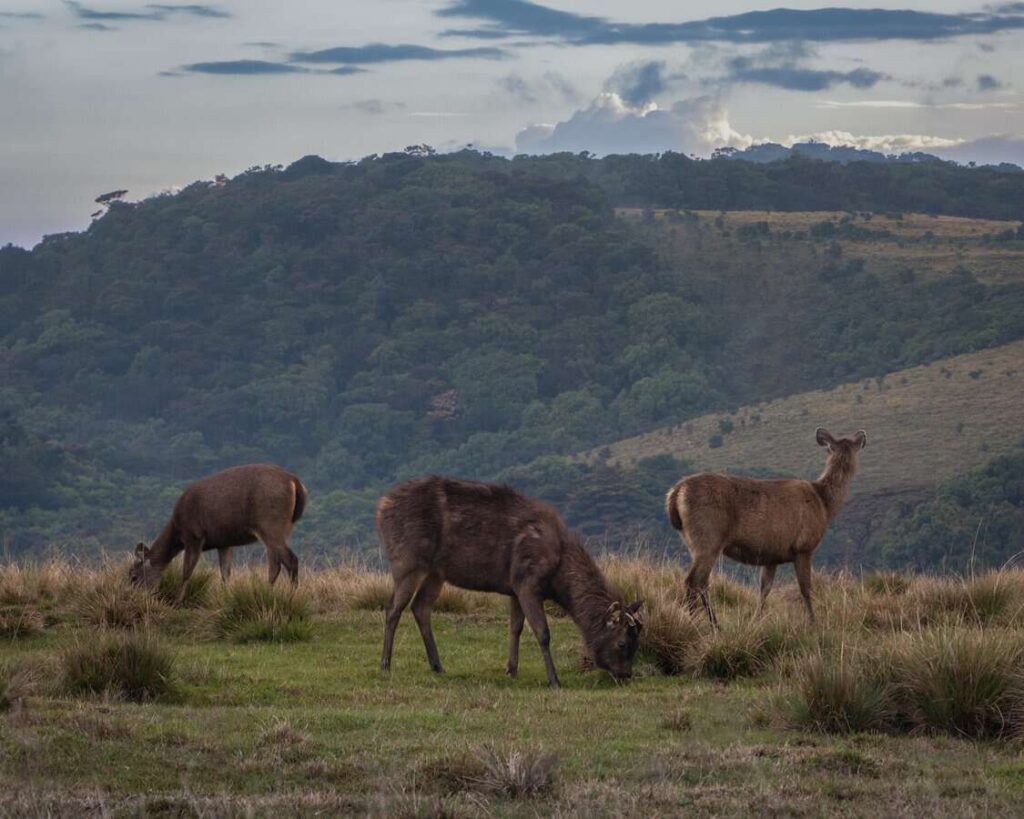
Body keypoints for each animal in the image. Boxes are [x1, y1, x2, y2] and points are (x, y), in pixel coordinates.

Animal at [128, 464, 305, 606]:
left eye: (133, 577)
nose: (133, 598)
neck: (177, 532)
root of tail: (294, 482)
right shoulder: (224, 542)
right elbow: (225, 573)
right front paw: (226, 599)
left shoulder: (194, 535)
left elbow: (186, 572)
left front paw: (177, 602)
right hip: (282, 527)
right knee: (276, 564)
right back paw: (267, 592)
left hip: (270, 524)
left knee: (290, 560)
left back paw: (290, 597)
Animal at [380, 477, 643, 687]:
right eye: (622, 643)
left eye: (637, 642)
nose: (626, 675)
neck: (557, 576)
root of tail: (382, 505)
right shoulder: (528, 582)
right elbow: (542, 632)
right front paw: (554, 680)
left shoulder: (514, 588)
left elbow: (515, 627)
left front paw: (511, 670)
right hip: (408, 559)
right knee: (393, 608)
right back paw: (385, 664)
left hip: (436, 571)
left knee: (420, 607)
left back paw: (437, 665)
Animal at [663, 427, 864, 626]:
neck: (824, 503)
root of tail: (676, 492)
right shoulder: (804, 547)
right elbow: (805, 588)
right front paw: (813, 622)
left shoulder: (771, 555)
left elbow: (764, 589)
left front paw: (756, 619)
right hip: (708, 536)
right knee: (694, 581)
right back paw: (700, 622)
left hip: (693, 541)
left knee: (701, 582)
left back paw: (710, 623)